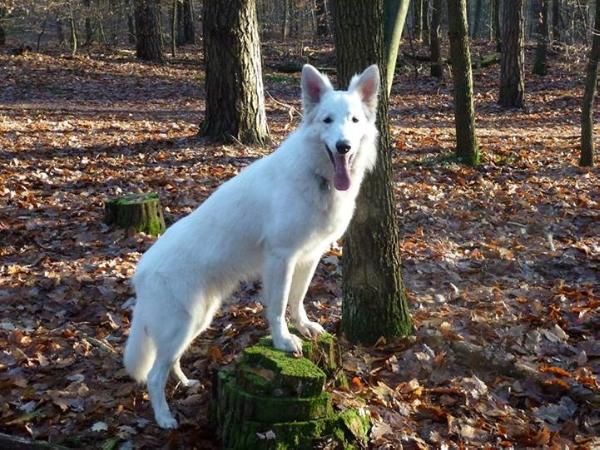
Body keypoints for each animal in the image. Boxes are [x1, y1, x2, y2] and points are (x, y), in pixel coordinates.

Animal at [125, 62, 382, 426]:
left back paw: (187, 383)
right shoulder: (281, 258)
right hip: (181, 322)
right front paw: (283, 340)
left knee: (169, 361)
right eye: (327, 121)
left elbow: (297, 299)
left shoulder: (309, 256)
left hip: (198, 319)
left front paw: (304, 326)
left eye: (354, 120)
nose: (343, 146)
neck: (317, 177)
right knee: (153, 374)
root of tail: (141, 272)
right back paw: (164, 418)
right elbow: (277, 306)